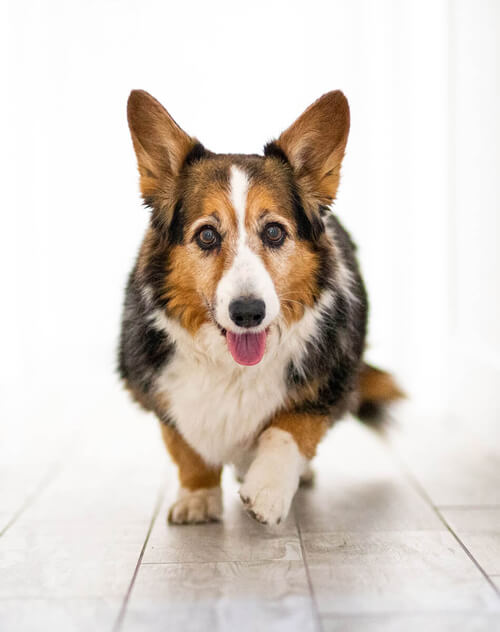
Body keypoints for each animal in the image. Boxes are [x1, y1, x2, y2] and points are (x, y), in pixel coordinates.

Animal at [118, 87, 402, 524]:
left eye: (273, 232)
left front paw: (268, 490)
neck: (233, 366)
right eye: (206, 235)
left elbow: (289, 430)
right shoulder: (156, 389)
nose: (248, 312)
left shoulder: (328, 381)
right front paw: (198, 497)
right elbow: (186, 446)